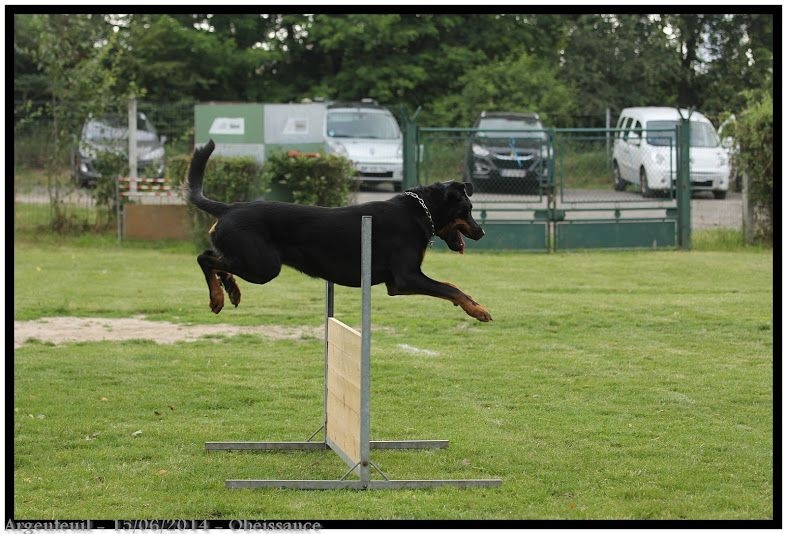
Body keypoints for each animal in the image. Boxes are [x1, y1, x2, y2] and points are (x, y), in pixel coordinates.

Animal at [185, 140, 492, 322]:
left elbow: (449, 285)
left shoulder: (396, 284)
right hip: (264, 266)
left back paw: (231, 291)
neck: (419, 210)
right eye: (468, 209)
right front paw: (478, 310)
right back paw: (218, 296)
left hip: (253, 261)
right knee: (205, 258)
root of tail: (228, 208)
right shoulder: (407, 277)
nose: (481, 232)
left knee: (217, 259)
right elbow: (450, 288)